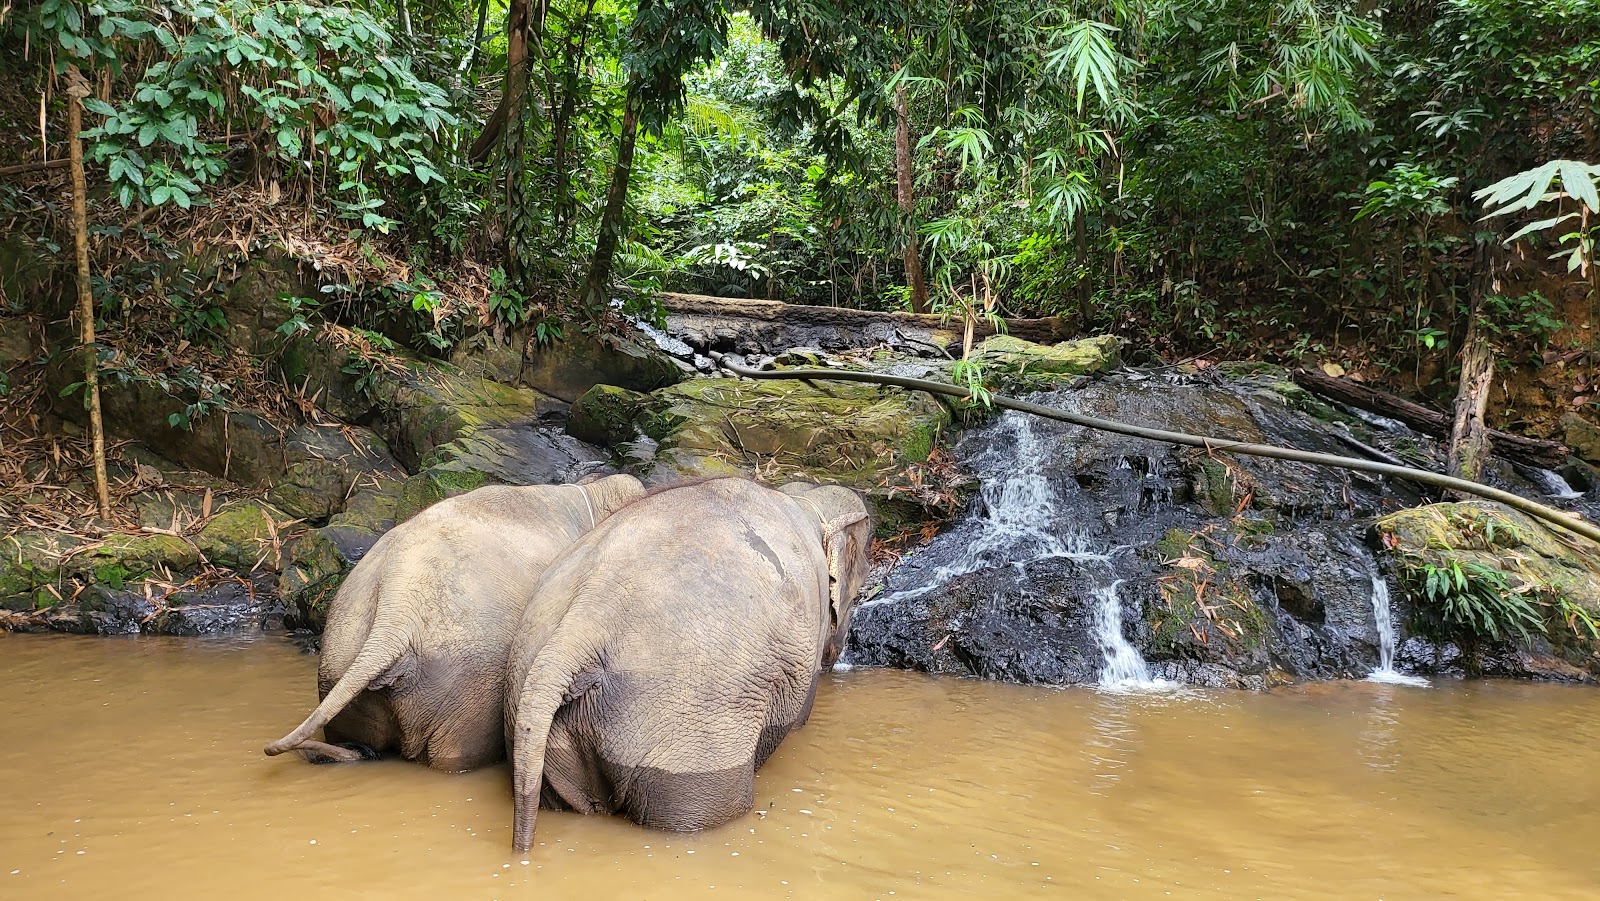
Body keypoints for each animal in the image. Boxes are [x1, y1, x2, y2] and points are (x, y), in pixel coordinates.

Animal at [263, 473, 646, 772]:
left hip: (340, 662)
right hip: (468, 687)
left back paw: (359, 752)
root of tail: (394, 606)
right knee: (454, 758)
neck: (590, 493)